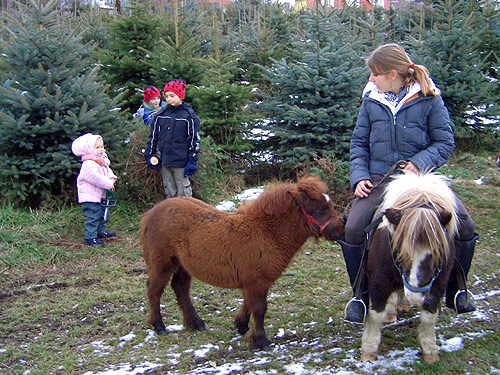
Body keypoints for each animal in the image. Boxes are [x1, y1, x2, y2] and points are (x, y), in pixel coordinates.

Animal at [141, 176, 344, 350]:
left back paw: (196, 323)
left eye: (330, 204)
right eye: (318, 211)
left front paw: (241, 325)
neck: (266, 233)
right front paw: (261, 340)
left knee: (180, 288)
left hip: (183, 266)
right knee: (154, 290)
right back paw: (159, 325)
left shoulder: (254, 282)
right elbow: (259, 309)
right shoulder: (256, 282)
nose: (340, 230)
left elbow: (248, 303)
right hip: (162, 263)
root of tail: (152, 212)